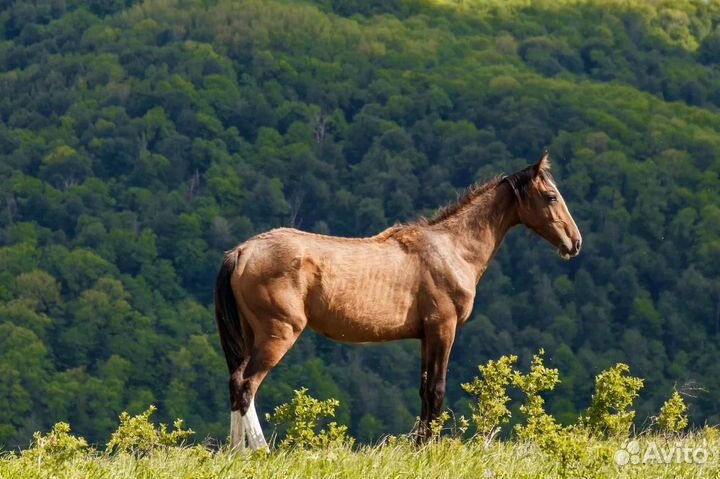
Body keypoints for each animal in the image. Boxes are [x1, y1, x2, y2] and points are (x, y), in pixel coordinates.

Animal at [212, 151, 580, 450]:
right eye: (550, 196)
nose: (574, 242)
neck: (452, 248)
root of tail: (242, 252)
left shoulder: (426, 336)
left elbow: (424, 391)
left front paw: (420, 447)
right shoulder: (443, 329)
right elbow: (437, 390)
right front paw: (429, 449)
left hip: (253, 335)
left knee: (235, 385)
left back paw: (236, 452)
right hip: (278, 333)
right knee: (246, 386)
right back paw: (259, 451)